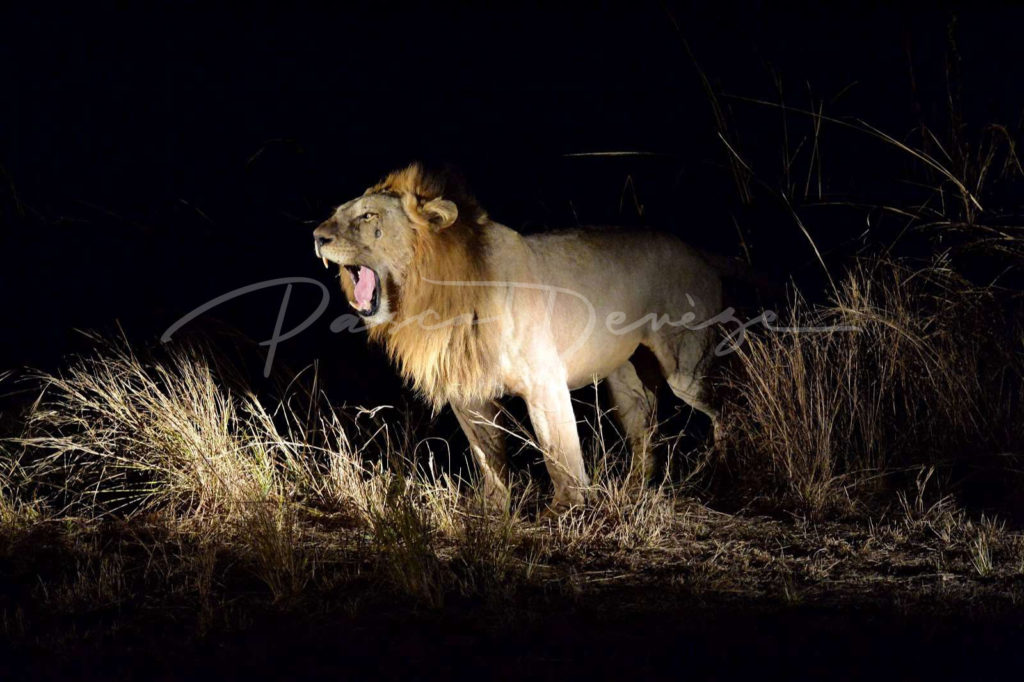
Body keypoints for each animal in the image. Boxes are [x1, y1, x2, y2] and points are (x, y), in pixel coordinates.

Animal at [311, 163, 720, 509]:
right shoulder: (467, 394)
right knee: (644, 431)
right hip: (626, 380)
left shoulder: (544, 381)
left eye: (368, 216)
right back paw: (635, 489)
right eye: (337, 213)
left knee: (724, 405)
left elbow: (559, 452)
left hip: (685, 368)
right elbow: (488, 455)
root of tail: (700, 253)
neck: (431, 299)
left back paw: (723, 466)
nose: (317, 236)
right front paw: (492, 510)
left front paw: (567, 510)